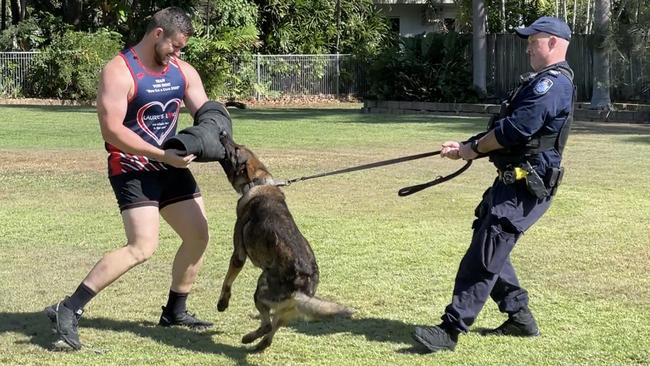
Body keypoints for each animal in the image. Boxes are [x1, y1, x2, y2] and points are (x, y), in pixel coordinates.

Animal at [215, 135, 352, 352]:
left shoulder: (238, 255)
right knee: (272, 330)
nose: (223, 133)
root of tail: (301, 286)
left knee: (267, 324)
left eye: (235, 149)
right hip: (287, 309)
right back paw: (257, 342)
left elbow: (227, 281)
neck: (256, 182)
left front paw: (223, 302)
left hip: (261, 289)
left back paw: (249, 338)